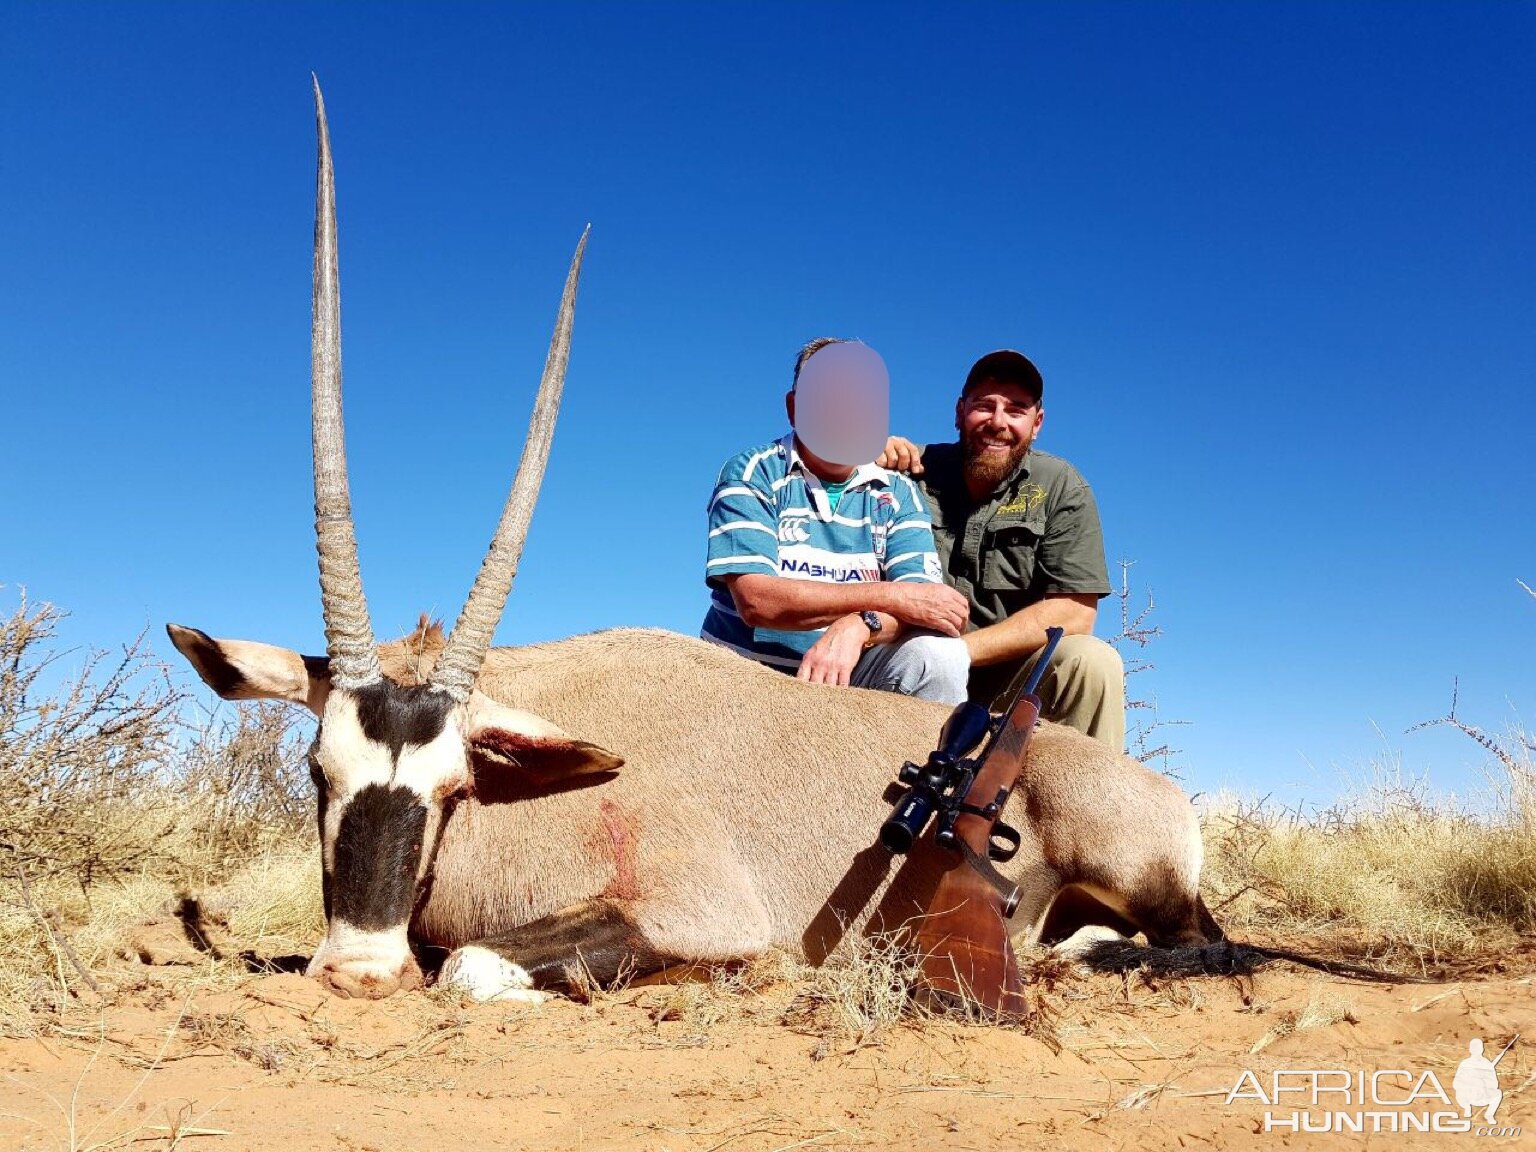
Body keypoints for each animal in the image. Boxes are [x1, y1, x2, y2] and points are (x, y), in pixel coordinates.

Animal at [171, 85, 1382, 1007]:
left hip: (1145, 878)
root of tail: (1154, 787)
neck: (536, 774)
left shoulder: (700, 913)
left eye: (454, 784)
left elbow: (471, 965)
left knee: (1197, 941)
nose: (358, 971)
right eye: (317, 771)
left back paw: (1069, 956)